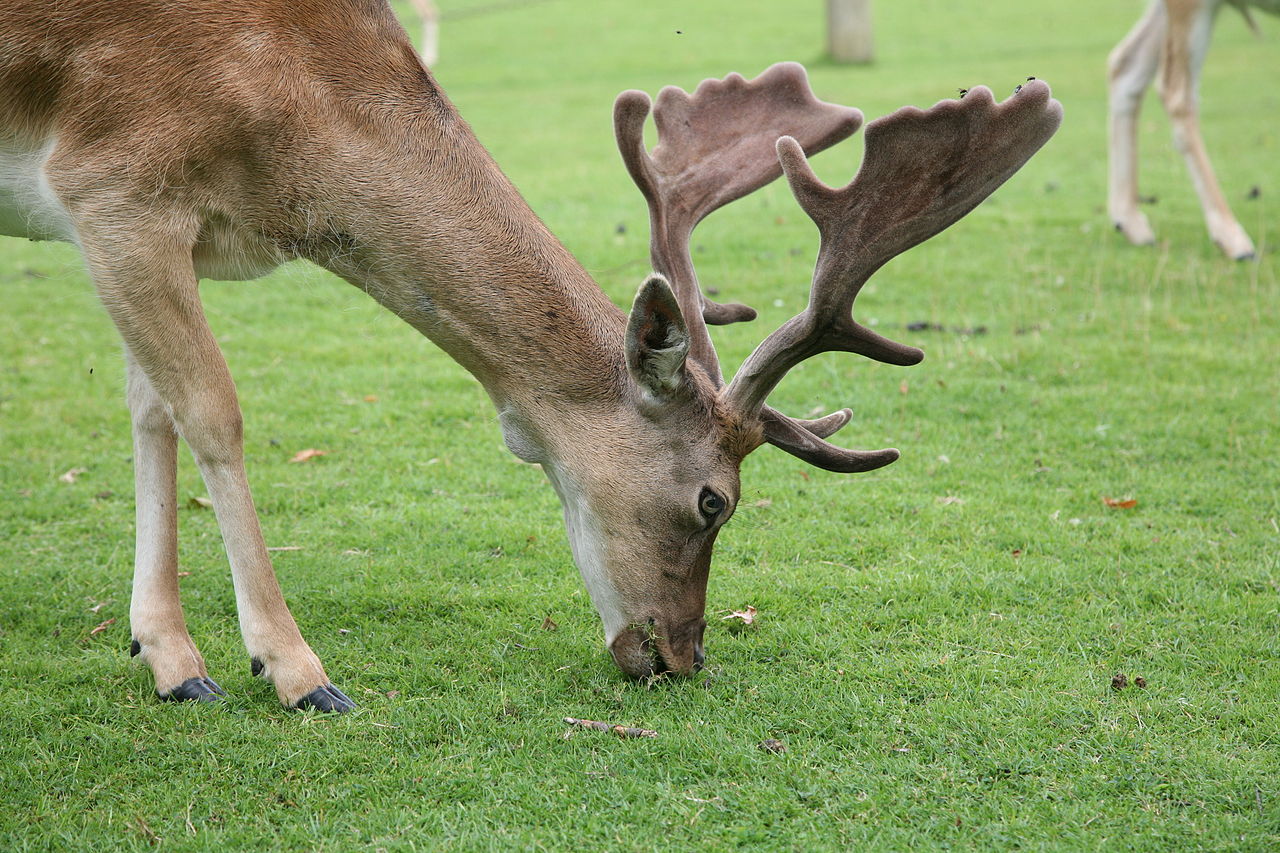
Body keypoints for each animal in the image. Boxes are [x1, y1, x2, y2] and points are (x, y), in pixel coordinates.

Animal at [0, 1, 1059, 712]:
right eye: (715, 500)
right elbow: (212, 412)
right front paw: (293, 670)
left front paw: (167, 656)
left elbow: (150, 411)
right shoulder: (112, 183)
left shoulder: (140, 229)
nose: (684, 657)